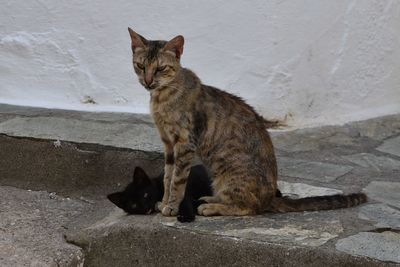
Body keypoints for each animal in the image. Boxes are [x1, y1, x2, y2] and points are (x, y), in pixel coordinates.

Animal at [127, 28, 366, 218]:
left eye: (160, 68)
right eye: (140, 65)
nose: (148, 81)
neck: (162, 98)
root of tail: (271, 197)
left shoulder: (184, 144)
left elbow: (177, 180)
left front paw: (172, 206)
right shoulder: (168, 144)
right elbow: (167, 178)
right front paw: (165, 202)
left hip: (228, 172)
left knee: (248, 208)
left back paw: (212, 207)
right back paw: (211, 199)